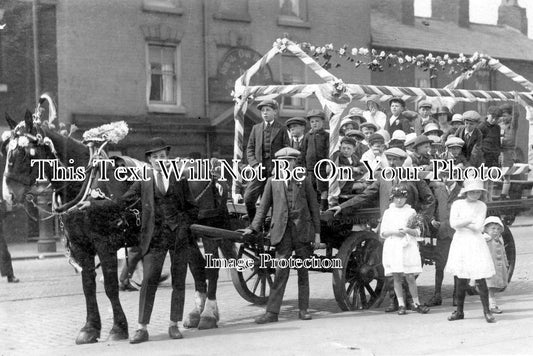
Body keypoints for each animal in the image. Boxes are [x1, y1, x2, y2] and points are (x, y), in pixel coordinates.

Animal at [2, 109, 139, 344]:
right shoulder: (80, 245)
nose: (8, 195)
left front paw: (119, 328)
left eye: (24, 153)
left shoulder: (105, 244)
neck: (86, 181)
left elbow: (110, 286)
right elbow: (88, 285)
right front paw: (90, 328)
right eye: (6, 151)